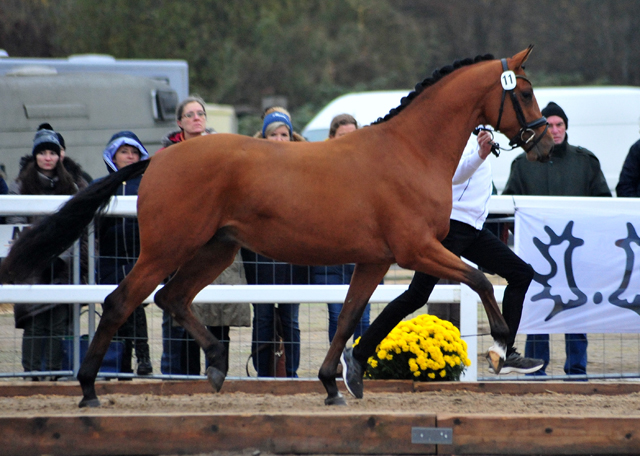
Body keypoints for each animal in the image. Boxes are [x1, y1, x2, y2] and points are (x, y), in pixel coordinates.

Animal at [0, 46, 552, 406]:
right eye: (524, 91)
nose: (544, 142)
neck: (409, 151)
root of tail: (158, 159)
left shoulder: (377, 259)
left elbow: (350, 316)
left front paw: (335, 383)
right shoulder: (417, 249)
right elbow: (481, 279)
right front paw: (504, 348)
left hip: (216, 250)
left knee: (172, 298)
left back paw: (216, 366)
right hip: (166, 248)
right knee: (123, 301)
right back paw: (89, 389)